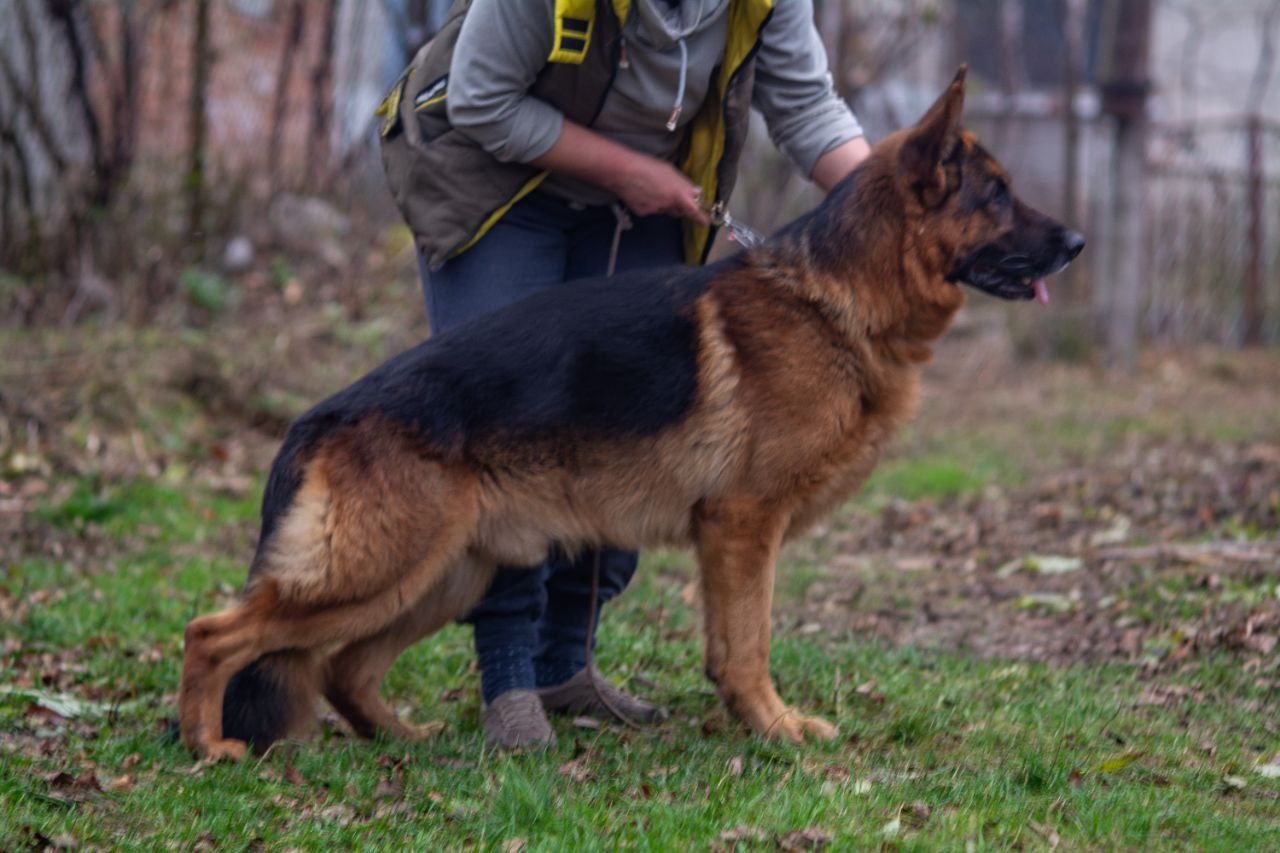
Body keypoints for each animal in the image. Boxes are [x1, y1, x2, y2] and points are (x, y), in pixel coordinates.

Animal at [177, 68, 1080, 758]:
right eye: (999, 195)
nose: (1076, 244)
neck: (837, 298)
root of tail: (321, 417)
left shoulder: (730, 537)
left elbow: (729, 645)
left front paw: (749, 723)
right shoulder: (743, 526)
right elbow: (750, 643)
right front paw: (777, 728)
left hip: (441, 572)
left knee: (343, 667)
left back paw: (403, 737)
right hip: (376, 568)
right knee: (214, 631)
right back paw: (206, 743)